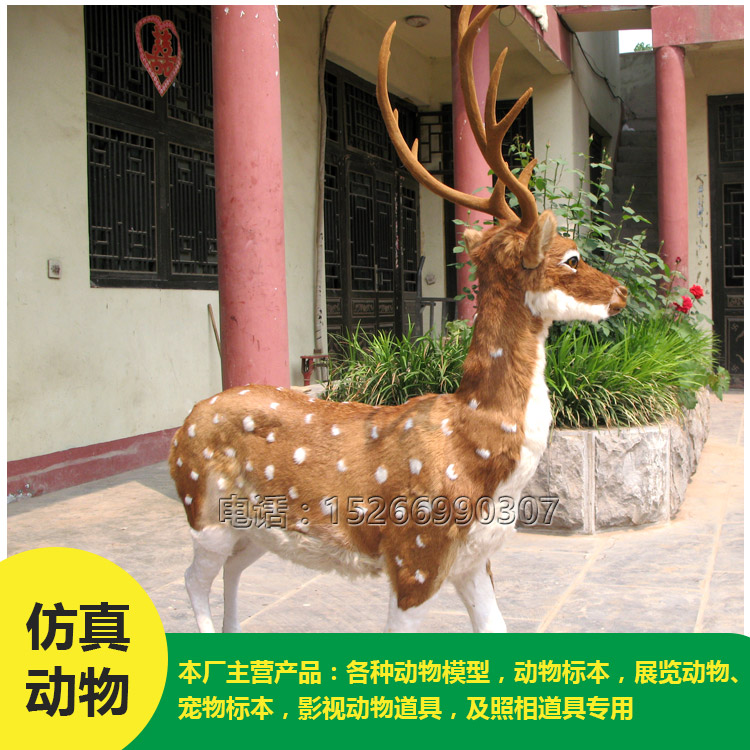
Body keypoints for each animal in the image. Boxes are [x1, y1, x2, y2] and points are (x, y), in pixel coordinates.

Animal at [169, 5, 627, 634]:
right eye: (572, 257)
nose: (622, 292)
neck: (475, 451)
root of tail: (179, 430)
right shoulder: (413, 554)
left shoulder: (474, 560)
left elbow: (499, 630)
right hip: (206, 511)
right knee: (191, 579)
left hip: (256, 531)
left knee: (233, 573)